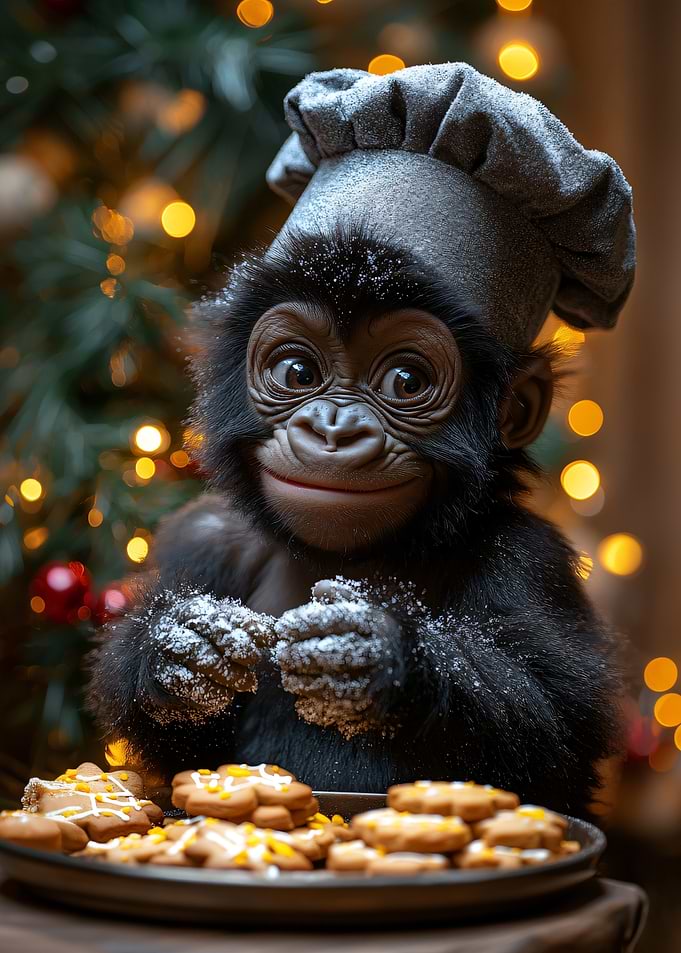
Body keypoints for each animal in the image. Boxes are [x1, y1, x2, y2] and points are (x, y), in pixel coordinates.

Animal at [87, 225, 622, 816]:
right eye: (297, 372)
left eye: (406, 382)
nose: (333, 428)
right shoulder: (200, 542)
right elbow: (190, 747)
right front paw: (178, 648)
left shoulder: (528, 558)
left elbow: (556, 732)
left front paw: (375, 655)